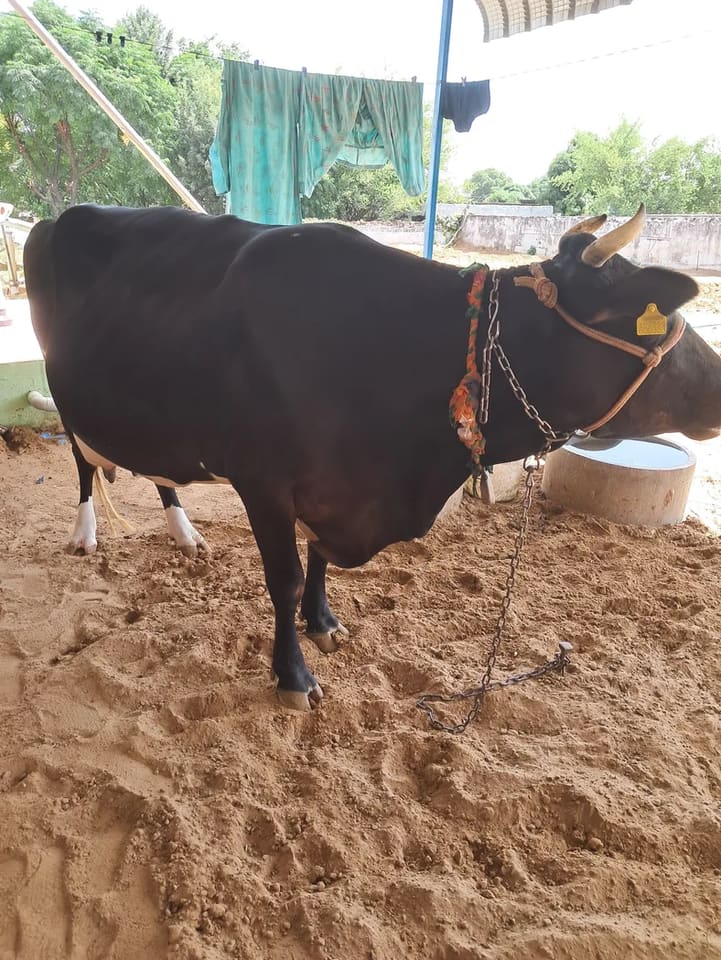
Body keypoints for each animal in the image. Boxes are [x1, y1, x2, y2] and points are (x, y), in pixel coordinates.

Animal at [23, 203, 721, 710]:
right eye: (651, 318)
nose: (718, 385)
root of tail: (58, 217)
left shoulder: (335, 488)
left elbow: (319, 560)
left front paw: (324, 622)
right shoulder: (264, 481)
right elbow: (285, 576)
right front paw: (294, 675)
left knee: (156, 469)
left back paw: (183, 531)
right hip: (68, 392)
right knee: (83, 463)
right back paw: (86, 532)